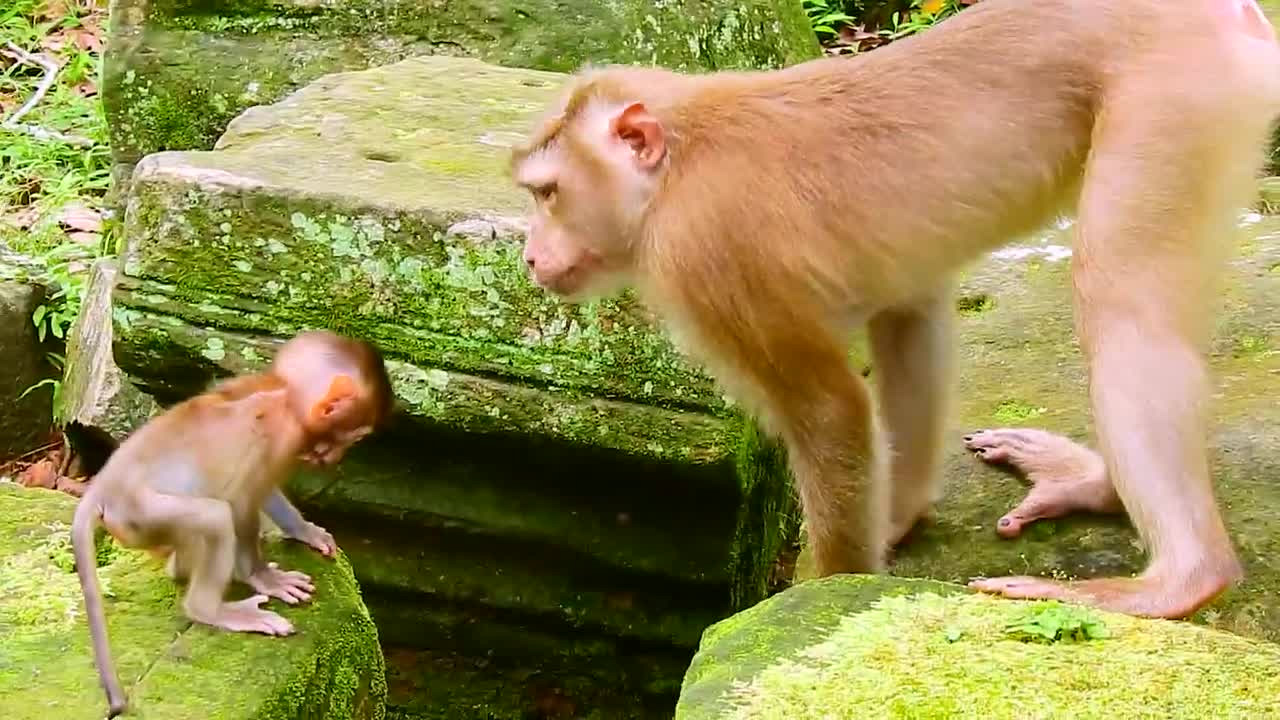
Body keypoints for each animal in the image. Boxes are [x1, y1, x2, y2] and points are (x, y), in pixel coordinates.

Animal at [68, 330, 389, 712]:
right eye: (355, 435)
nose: (336, 457)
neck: (282, 390)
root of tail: (101, 488)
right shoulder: (283, 436)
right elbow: (242, 500)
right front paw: (264, 577)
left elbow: (263, 489)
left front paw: (304, 530)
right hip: (140, 514)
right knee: (216, 516)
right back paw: (214, 610)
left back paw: (182, 570)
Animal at [509, 0, 1280, 617]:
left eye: (548, 193)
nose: (529, 255)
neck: (675, 169)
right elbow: (910, 315)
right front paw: (899, 518)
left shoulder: (706, 257)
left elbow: (832, 415)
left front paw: (831, 587)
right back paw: (1093, 485)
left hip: (1174, 97)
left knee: (1121, 302)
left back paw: (1182, 580)